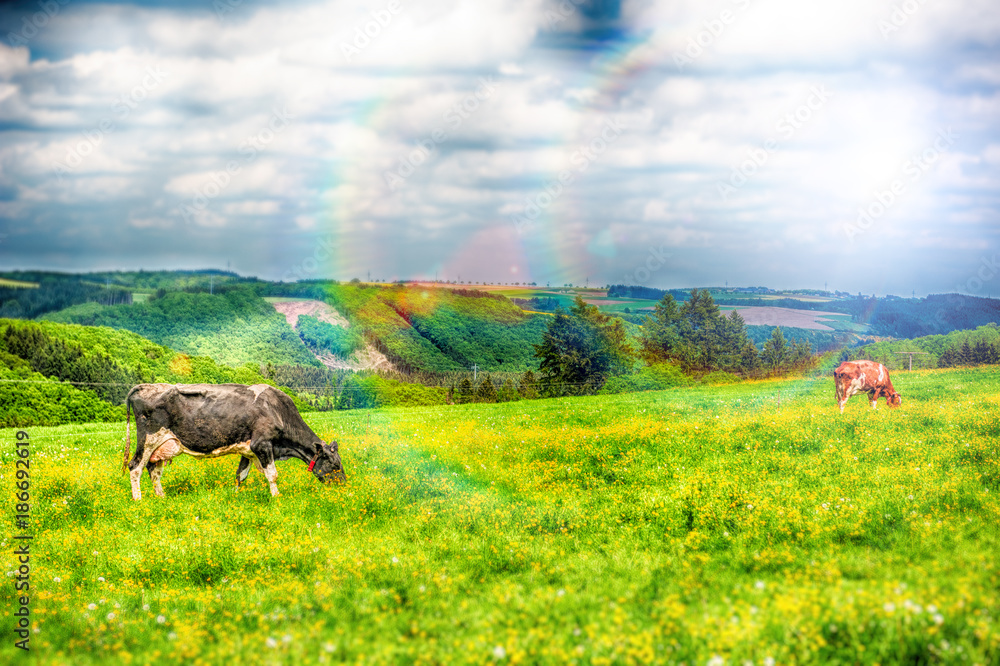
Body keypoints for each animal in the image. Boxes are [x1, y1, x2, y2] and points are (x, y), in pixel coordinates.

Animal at [124, 382, 348, 500]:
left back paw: (161, 497)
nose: (345, 486)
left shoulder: (248, 450)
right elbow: (273, 474)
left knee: (154, 470)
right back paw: (138, 499)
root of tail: (143, 386)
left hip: (162, 446)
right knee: (135, 466)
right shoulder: (262, 444)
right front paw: (276, 497)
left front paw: (234, 496)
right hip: (148, 438)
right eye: (335, 464)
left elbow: (240, 475)